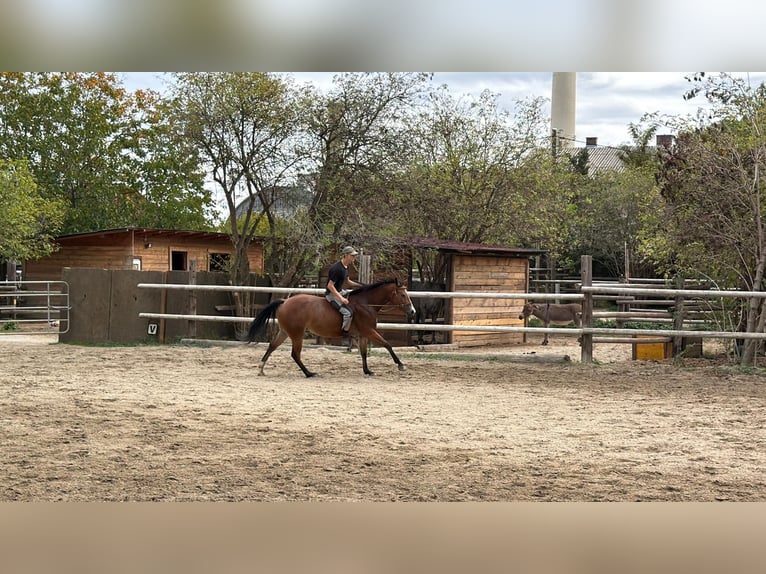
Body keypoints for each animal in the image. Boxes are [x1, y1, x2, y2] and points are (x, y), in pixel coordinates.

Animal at [246, 278, 416, 377]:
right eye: (402, 295)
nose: (412, 311)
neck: (366, 303)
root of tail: (284, 302)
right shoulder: (369, 331)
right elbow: (387, 345)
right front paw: (400, 365)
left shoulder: (362, 334)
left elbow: (363, 353)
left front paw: (367, 371)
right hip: (297, 334)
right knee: (295, 354)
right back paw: (309, 373)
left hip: (285, 332)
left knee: (272, 346)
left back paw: (261, 368)